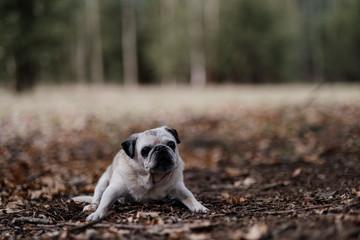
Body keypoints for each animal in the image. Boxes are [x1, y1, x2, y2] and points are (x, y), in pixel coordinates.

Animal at [73, 125, 208, 221]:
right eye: (145, 150)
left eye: (171, 144)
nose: (161, 148)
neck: (151, 178)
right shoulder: (113, 189)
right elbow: (104, 203)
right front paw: (98, 213)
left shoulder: (179, 188)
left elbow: (190, 197)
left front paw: (199, 206)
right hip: (103, 182)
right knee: (98, 197)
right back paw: (92, 206)